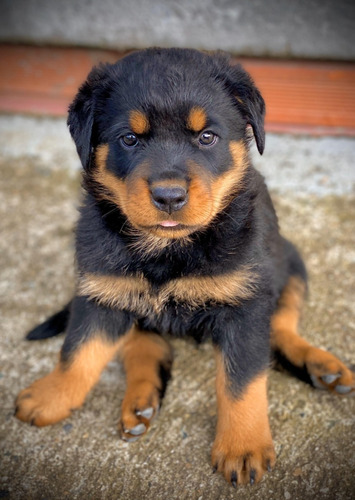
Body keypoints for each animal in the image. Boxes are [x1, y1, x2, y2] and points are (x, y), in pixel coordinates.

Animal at [14, 48, 355, 486]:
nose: (169, 196)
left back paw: (320, 365)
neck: (168, 248)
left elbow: (242, 379)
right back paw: (141, 401)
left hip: (290, 261)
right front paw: (49, 396)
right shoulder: (102, 291)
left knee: (280, 325)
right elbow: (78, 352)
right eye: (129, 139)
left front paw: (242, 446)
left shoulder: (245, 304)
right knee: (144, 342)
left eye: (206, 137)